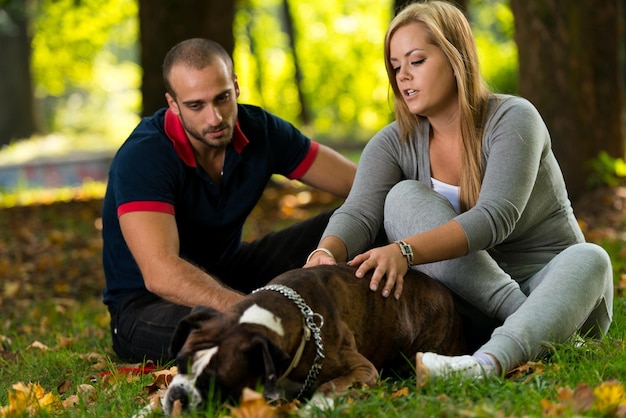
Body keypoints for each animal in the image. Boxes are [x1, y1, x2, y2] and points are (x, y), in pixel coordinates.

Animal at [161, 262, 464, 414]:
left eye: (215, 383)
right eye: (180, 361)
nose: (178, 397)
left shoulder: (363, 369)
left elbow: (327, 388)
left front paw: (314, 408)